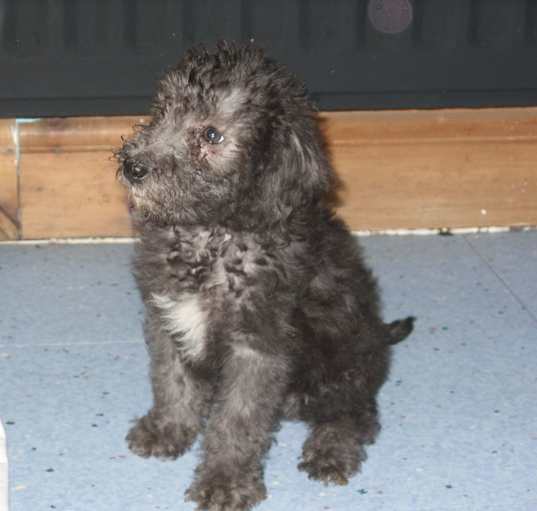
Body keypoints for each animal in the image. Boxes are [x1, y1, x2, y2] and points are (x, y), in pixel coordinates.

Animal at [115, 42, 412, 510]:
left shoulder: (256, 347)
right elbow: (172, 384)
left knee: (356, 413)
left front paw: (224, 481)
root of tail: (381, 336)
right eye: (163, 112)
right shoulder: (167, 318)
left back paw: (331, 451)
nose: (133, 166)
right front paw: (167, 430)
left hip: (344, 357)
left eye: (211, 135)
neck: (210, 236)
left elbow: (236, 421)